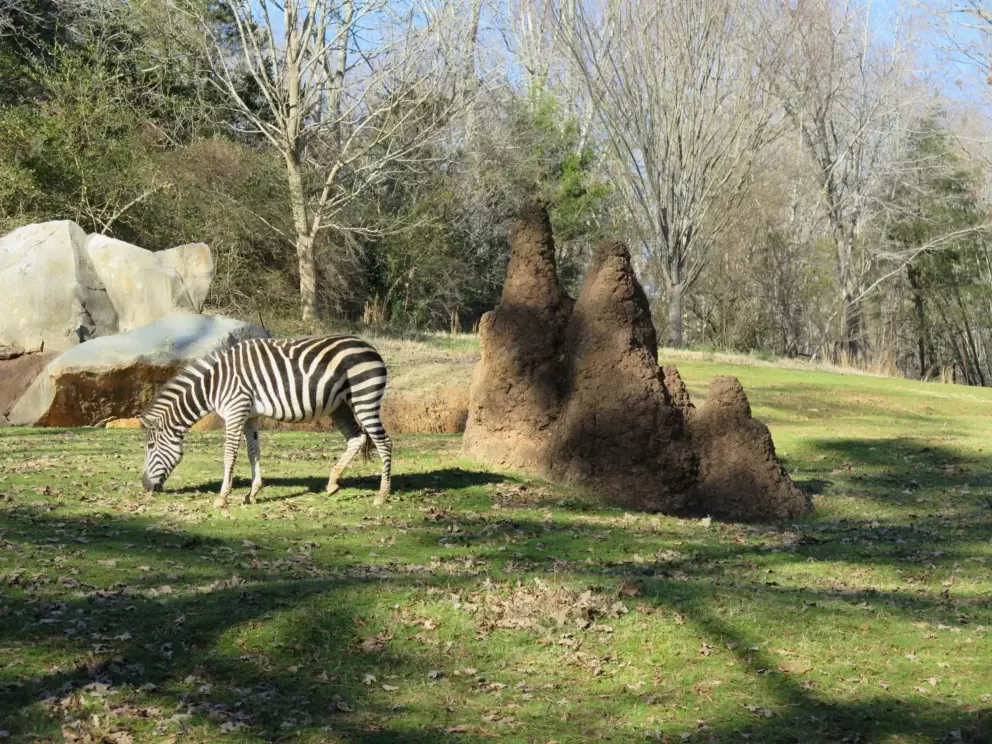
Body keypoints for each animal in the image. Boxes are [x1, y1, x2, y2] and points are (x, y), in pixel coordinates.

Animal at [139, 335, 392, 509]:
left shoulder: (235, 410)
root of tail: (370, 347)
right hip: (339, 406)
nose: (144, 486)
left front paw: (222, 498)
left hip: (364, 397)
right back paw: (332, 483)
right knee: (357, 438)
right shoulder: (250, 416)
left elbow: (229, 454)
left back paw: (382, 495)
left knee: (384, 443)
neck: (215, 385)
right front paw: (252, 493)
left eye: (150, 446)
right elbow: (253, 452)